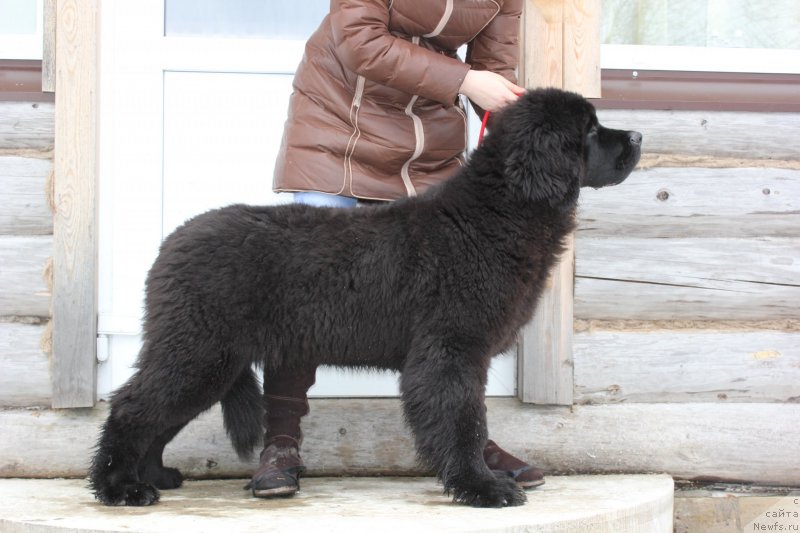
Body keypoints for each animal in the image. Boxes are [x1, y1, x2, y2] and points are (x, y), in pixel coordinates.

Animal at [89, 88, 636, 508]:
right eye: (588, 131)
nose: (637, 137)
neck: (497, 213)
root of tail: (171, 243)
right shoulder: (449, 350)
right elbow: (463, 420)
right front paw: (482, 488)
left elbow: (469, 419)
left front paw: (485, 478)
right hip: (199, 349)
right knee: (133, 406)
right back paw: (120, 489)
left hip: (207, 355)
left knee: (157, 415)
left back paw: (154, 476)